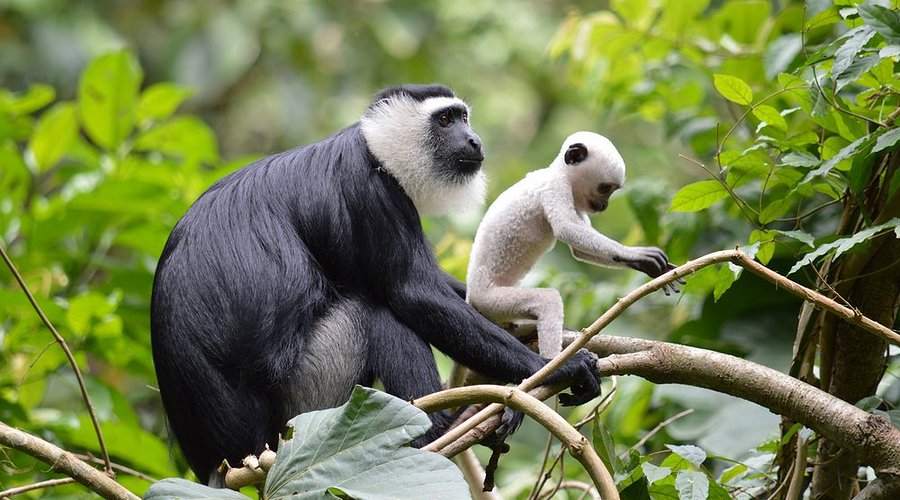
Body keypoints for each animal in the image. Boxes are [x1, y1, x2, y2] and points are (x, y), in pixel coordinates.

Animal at [150, 85, 602, 485]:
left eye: (464, 118)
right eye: (445, 120)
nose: (473, 139)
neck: (373, 147)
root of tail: (224, 457)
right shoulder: (372, 190)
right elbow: (413, 293)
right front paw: (555, 367)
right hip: (304, 405)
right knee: (373, 312)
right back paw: (440, 427)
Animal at [466, 131, 678, 358]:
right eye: (605, 188)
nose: (604, 206)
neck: (560, 173)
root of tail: (472, 296)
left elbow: (578, 250)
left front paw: (652, 268)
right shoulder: (556, 185)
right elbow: (566, 228)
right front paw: (637, 254)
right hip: (491, 300)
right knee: (548, 301)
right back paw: (556, 363)